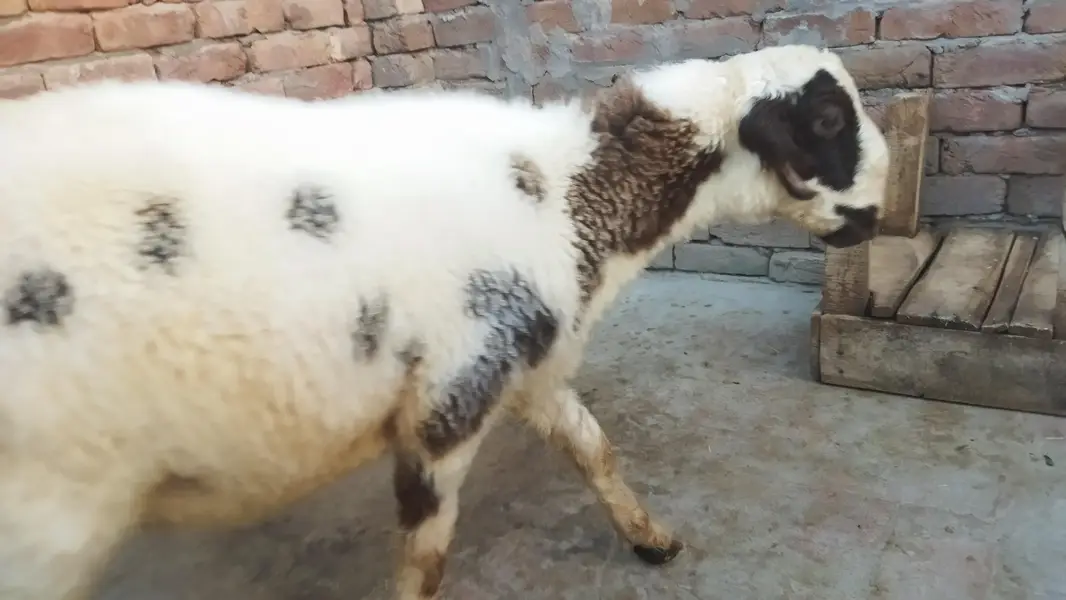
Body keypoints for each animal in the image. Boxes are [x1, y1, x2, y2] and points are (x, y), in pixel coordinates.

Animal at [0, 43, 889, 600]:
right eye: (825, 122)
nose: (876, 216)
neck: (569, 198)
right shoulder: (446, 406)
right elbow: (425, 563)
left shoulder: (527, 370)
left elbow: (594, 449)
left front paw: (653, 539)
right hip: (49, 522)